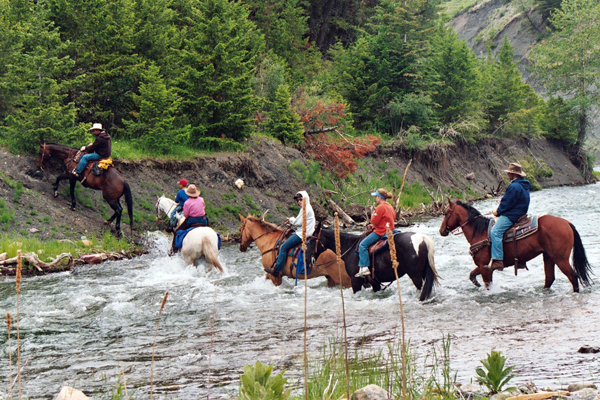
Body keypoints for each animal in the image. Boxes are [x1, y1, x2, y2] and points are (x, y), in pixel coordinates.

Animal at [304, 223, 440, 298]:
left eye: (312, 240)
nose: (305, 258)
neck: (351, 247)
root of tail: (423, 238)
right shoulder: (374, 282)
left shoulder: (355, 281)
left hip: (415, 275)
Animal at [438, 199, 592, 290]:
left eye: (446, 213)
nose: (441, 230)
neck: (479, 232)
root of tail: (567, 223)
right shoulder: (483, 266)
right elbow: (472, 275)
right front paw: (476, 283)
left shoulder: (485, 267)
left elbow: (488, 285)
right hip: (548, 256)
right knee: (549, 278)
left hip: (560, 258)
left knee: (573, 277)